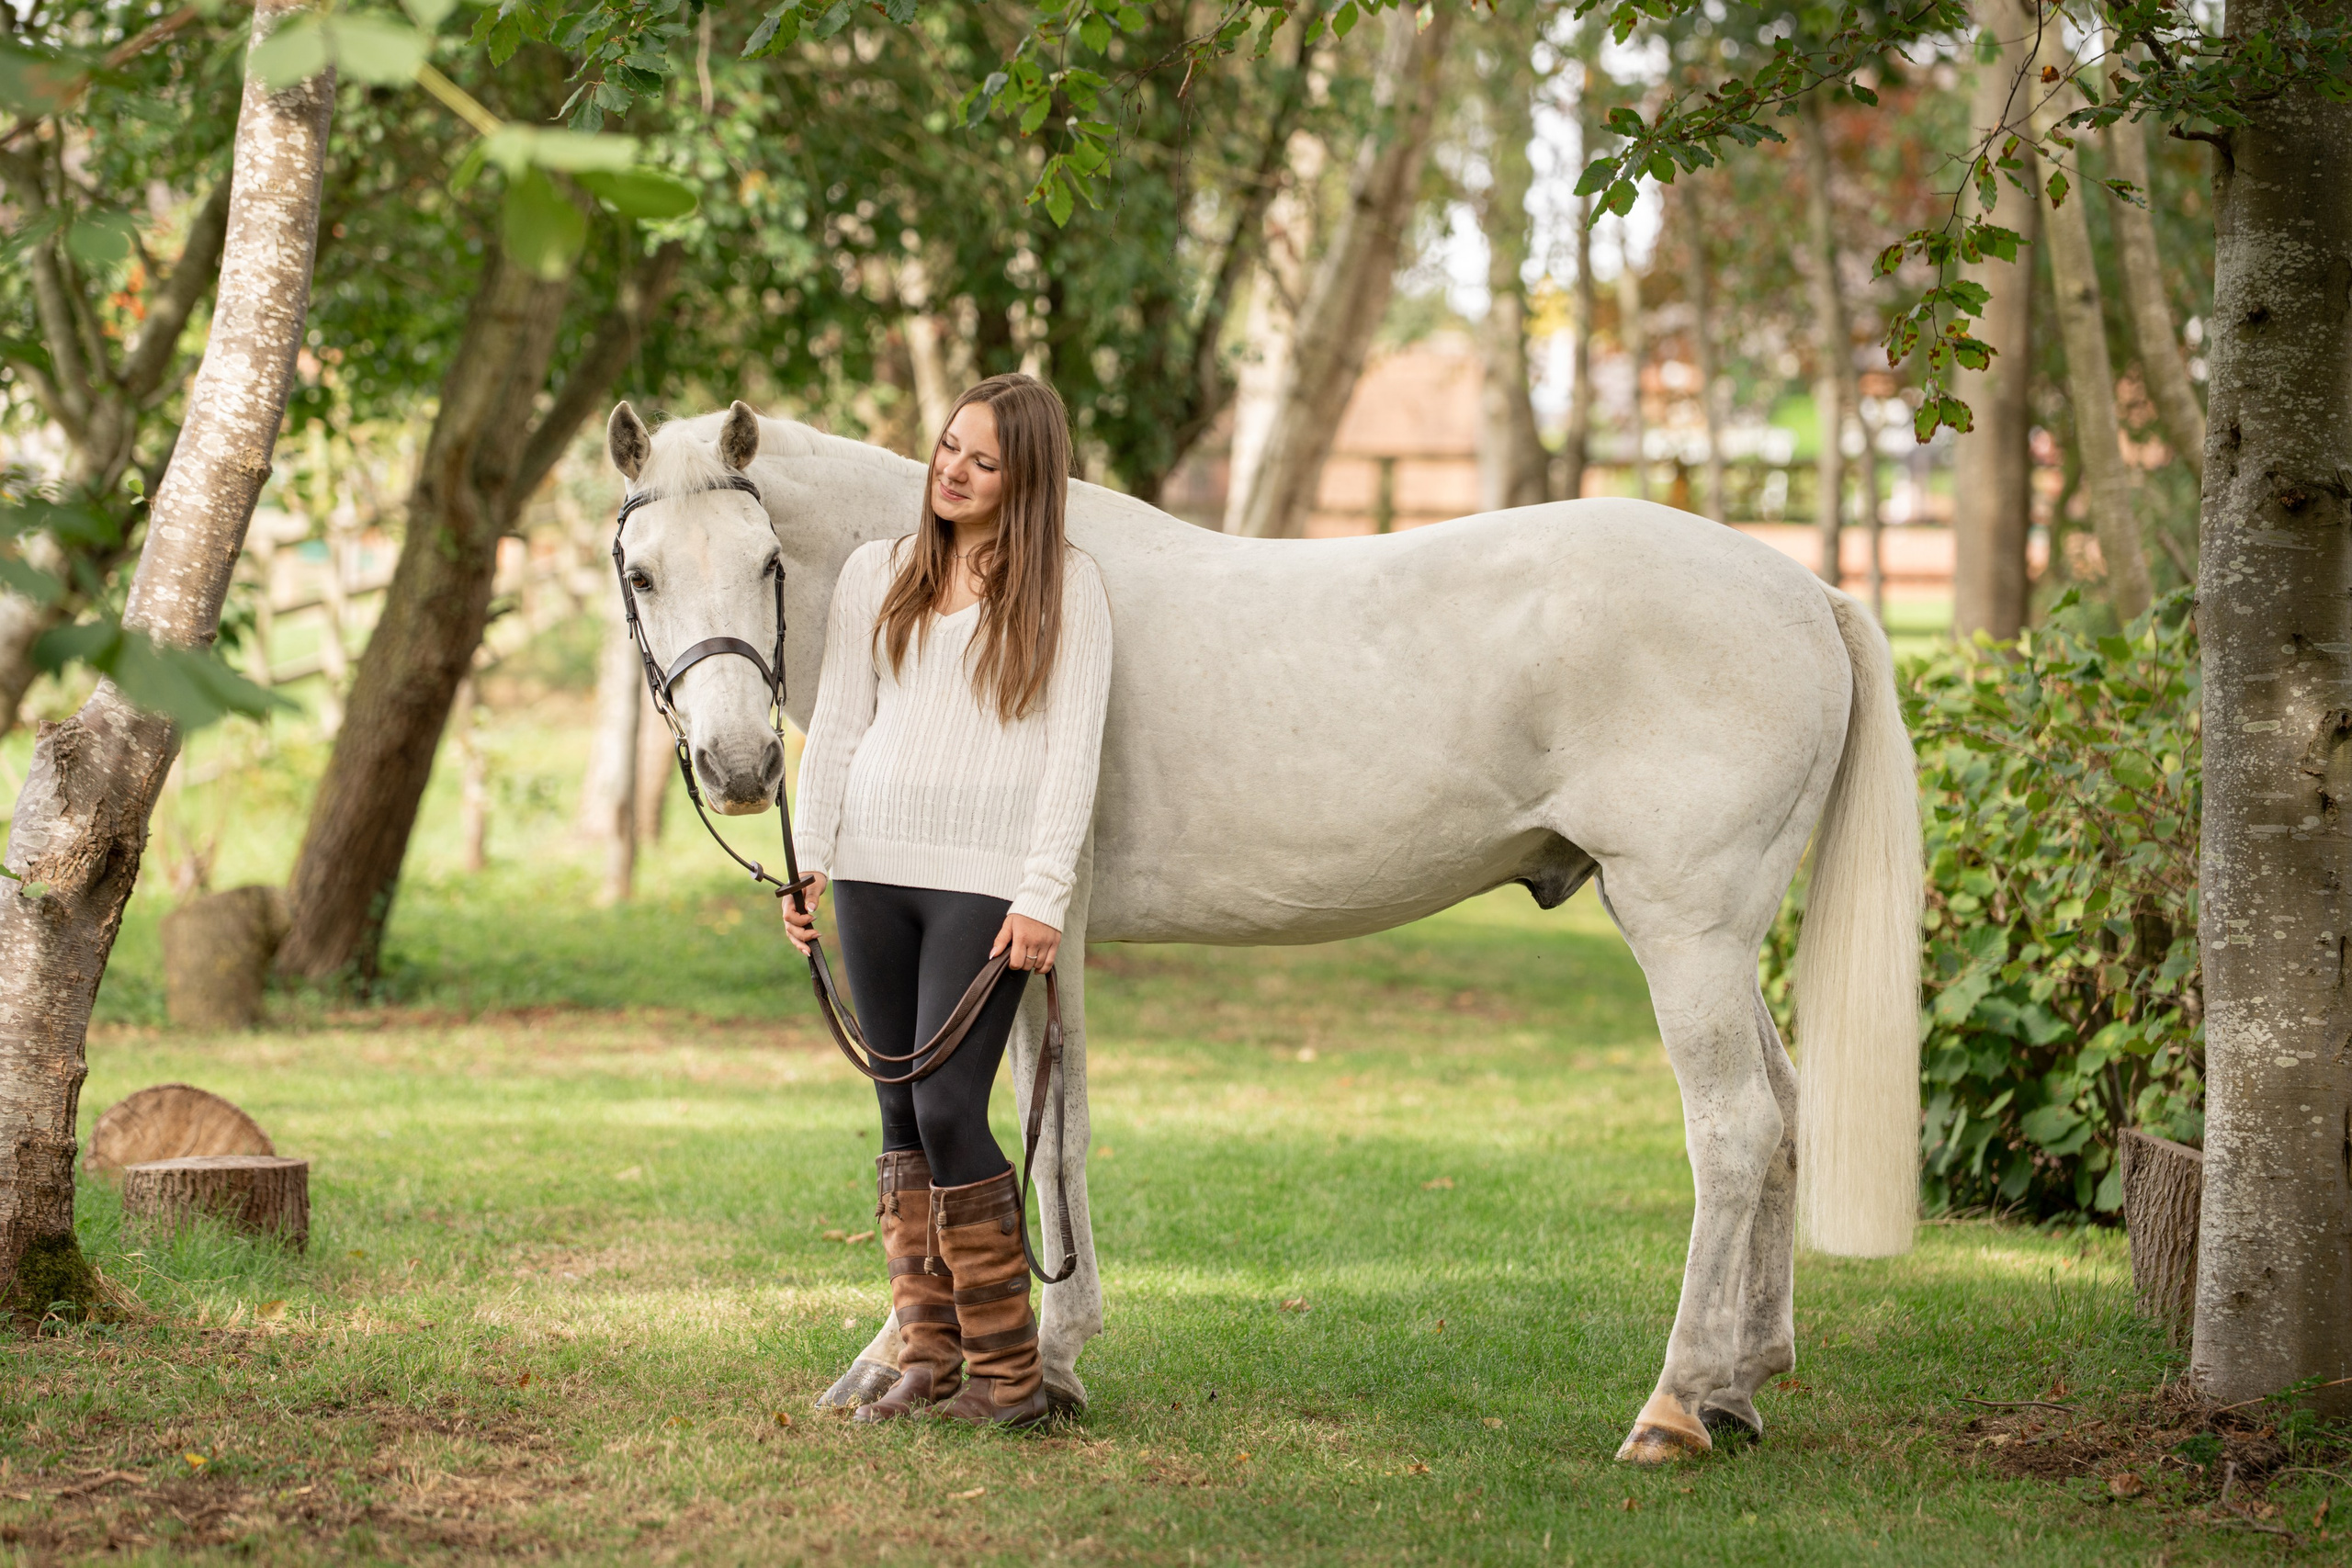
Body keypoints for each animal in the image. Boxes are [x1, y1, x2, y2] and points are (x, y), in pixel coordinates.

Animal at [602, 399, 1922, 1464]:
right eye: (644, 574)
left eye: (766, 560)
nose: (738, 766)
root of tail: (1805, 593)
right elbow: (1021, 1130)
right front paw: (971, 1360)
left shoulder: (1033, 934)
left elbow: (1048, 1138)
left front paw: (1033, 1363)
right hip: (1722, 940)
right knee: (1784, 1112)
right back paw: (1744, 1384)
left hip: (1683, 929)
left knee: (1733, 1128)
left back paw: (1675, 1405)